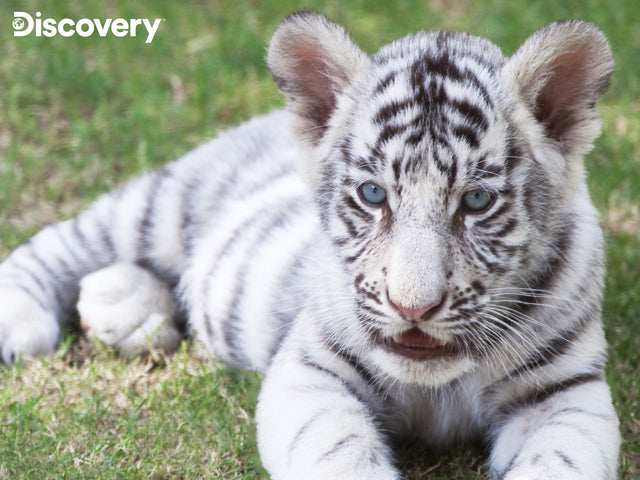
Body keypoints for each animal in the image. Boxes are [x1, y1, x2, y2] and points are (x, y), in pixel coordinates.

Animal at [0, 11, 621, 480]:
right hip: (165, 204)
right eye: (373, 194)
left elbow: (560, 462)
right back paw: (24, 321)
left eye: (475, 201)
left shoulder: (565, 393)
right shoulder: (311, 369)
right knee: (67, 241)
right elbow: (341, 454)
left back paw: (125, 310)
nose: (413, 308)